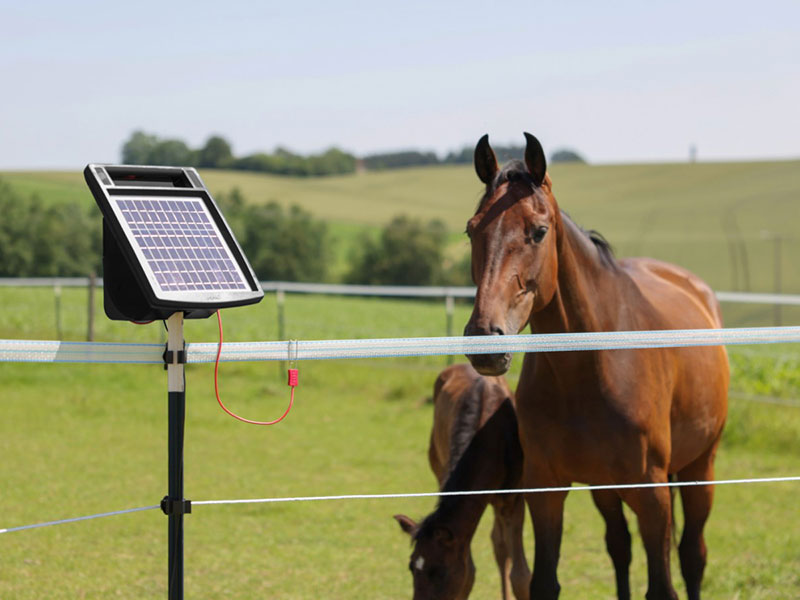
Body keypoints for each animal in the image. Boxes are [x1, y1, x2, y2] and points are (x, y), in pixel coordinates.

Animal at [394, 363, 531, 599]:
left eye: (439, 572)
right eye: (411, 567)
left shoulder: (513, 499)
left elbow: (521, 576)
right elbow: (469, 573)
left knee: (500, 545)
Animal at [463, 133, 729, 600]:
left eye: (539, 231)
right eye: (472, 229)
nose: (484, 339)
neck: (590, 369)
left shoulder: (651, 494)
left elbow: (663, 584)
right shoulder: (546, 488)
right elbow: (545, 580)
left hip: (700, 467)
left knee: (692, 555)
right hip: (608, 488)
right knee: (620, 547)